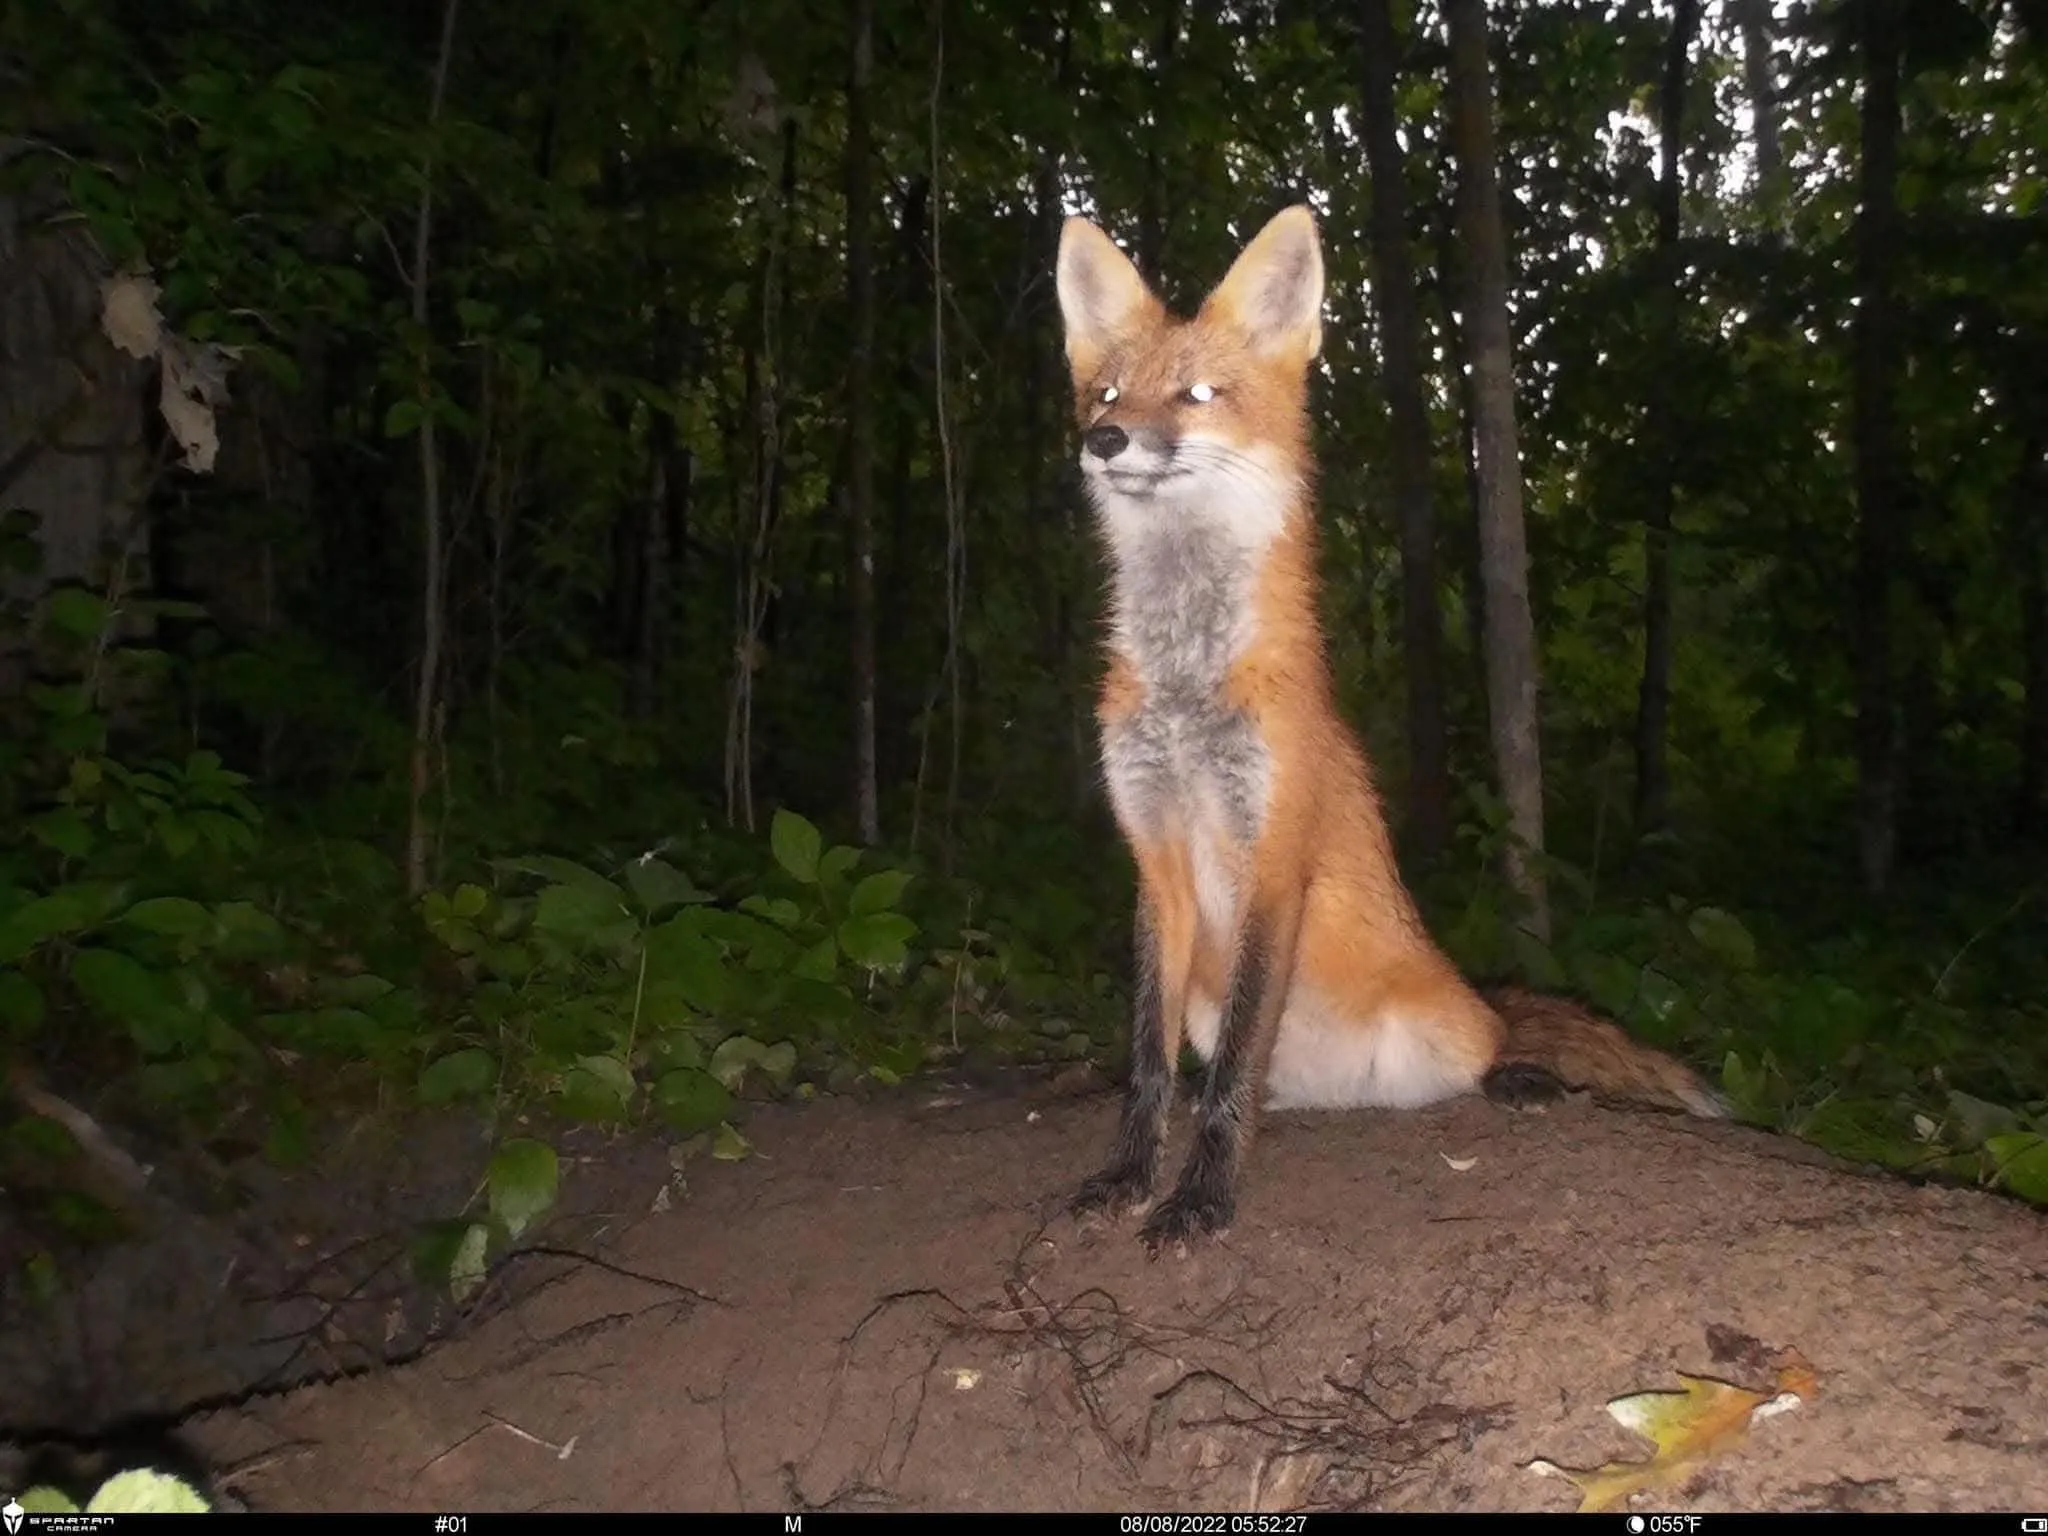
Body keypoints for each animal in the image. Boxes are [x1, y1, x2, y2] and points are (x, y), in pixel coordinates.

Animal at [1053, 204, 1728, 1256]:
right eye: (1107, 391)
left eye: (1199, 394)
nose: (1106, 437)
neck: (1188, 690)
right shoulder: (1153, 860)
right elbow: (1154, 1069)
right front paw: (1131, 1174)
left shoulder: (1274, 856)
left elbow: (1231, 1079)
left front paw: (1202, 1199)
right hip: (1215, 998)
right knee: (1260, 1081)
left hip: (1440, 1029)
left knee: (1483, 1051)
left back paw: (1524, 1076)